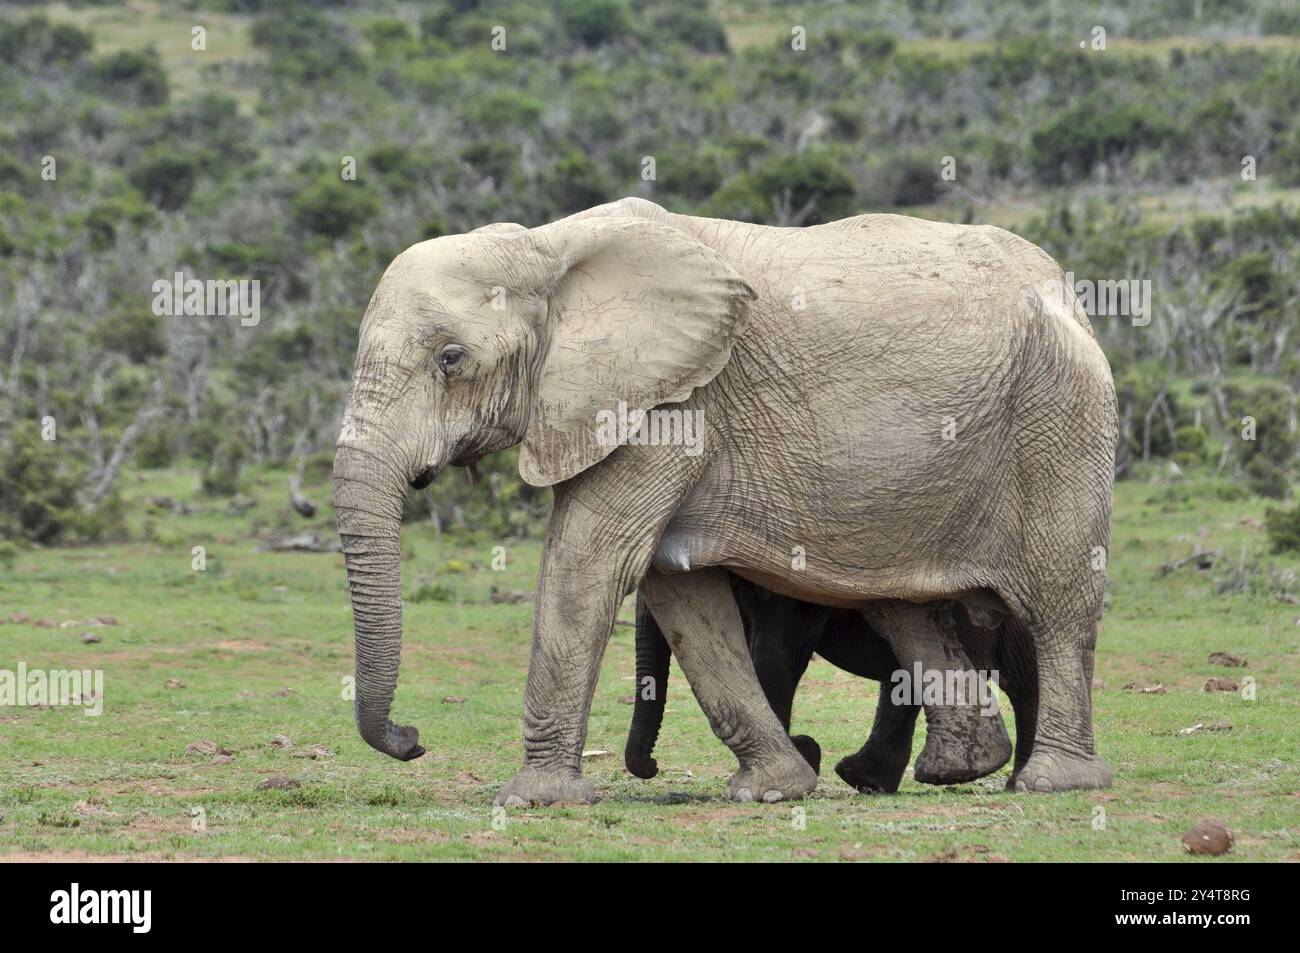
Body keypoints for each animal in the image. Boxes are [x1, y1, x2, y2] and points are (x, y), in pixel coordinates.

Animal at [330, 197, 1112, 806]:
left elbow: (591, 561)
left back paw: (1052, 782)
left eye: (450, 358)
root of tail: (1066, 289)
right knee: (906, 604)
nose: (412, 739)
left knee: (1058, 603)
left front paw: (532, 799)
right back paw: (957, 770)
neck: (548, 247)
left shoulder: (673, 406)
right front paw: (772, 789)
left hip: (1060, 418)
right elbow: (681, 593)